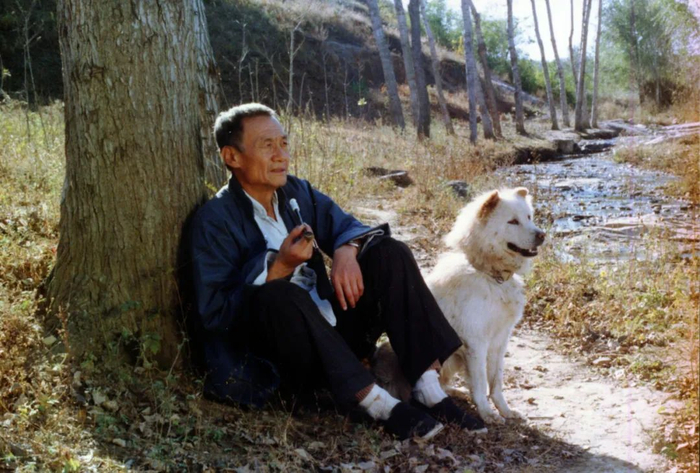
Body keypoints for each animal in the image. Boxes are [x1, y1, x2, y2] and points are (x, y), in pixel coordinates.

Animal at [425, 187, 545, 424]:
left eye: (529, 217)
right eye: (512, 221)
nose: (542, 235)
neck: (490, 276)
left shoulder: (500, 340)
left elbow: (496, 382)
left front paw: (505, 410)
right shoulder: (475, 342)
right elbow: (481, 383)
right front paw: (487, 413)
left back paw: (457, 392)